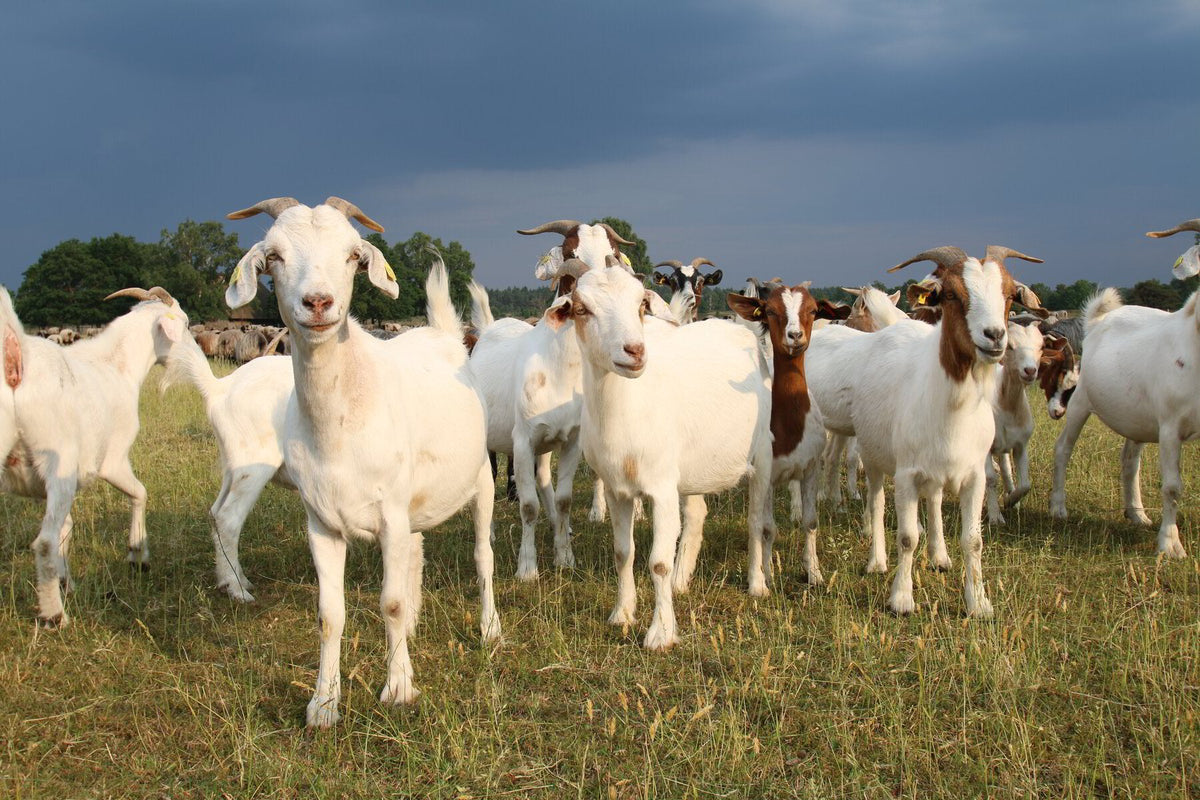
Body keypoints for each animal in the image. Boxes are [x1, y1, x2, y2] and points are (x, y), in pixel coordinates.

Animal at [0, 287, 188, 626]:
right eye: (185, 322)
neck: (117, 364)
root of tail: (15, 359)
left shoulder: (42, 487)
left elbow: (67, 527)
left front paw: (65, 581)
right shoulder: (113, 460)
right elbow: (140, 493)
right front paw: (137, 554)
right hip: (59, 461)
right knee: (44, 543)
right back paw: (55, 616)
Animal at [225, 196, 499, 727]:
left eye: (353, 254)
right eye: (273, 257)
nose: (317, 303)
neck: (340, 423)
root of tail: (443, 335)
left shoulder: (390, 514)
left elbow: (388, 603)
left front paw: (399, 688)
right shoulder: (322, 522)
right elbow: (330, 615)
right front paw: (323, 704)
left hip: (482, 482)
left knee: (483, 557)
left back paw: (490, 628)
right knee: (416, 552)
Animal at [564, 264, 772, 649]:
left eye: (640, 304)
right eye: (582, 309)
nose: (634, 351)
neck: (628, 406)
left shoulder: (661, 489)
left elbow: (657, 563)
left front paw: (660, 633)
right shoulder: (617, 490)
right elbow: (623, 552)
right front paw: (622, 614)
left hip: (763, 454)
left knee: (755, 521)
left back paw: (757, 584)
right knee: (698, 515)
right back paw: (682, 580)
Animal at [807, 246, 1041, 617]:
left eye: (1008, 295)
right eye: (951, 294)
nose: (994, 335)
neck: (954, 406)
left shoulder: (974, 474)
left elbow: (973, 540)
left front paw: (979, 603)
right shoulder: (906, 473)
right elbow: (906, 537)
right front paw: (901, 599)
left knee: (933, 499)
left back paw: (939, 556)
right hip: (874, 455)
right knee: (876, 500)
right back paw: (877, 561)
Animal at [1050, 216, 1200, 557]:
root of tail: (1097, 320)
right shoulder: (1170, 426)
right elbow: (1172, 486)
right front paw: (1170, 546)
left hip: (1138, 418)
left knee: (1130, 460)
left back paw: (1136, 513)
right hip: (1079, 401)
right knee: (1063, 448)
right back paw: (1058, 507)